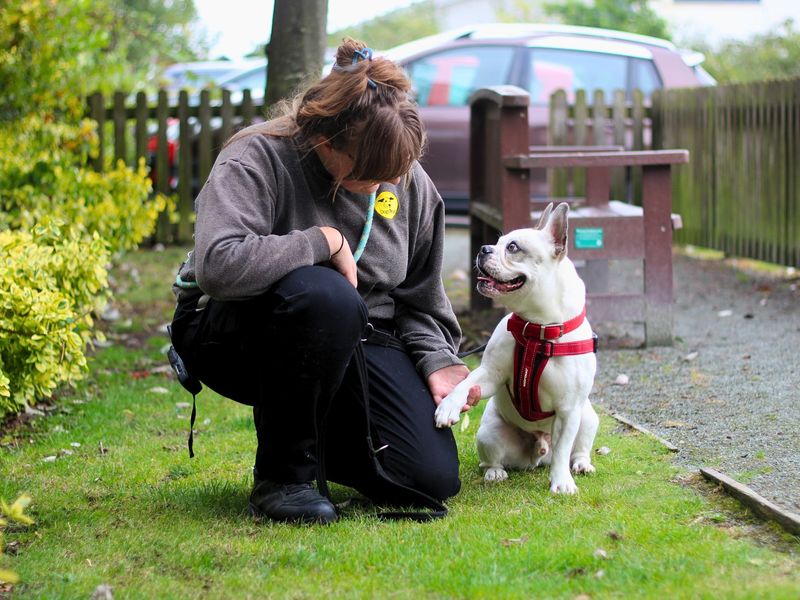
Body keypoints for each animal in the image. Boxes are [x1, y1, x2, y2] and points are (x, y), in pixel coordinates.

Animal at [434, 202, 596, 492]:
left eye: (512, 247)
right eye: (497, 242)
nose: (484, 248)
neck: (538, 328)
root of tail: (539, 452)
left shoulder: (569, 408)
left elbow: (563, 447)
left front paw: (561, 482)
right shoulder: (490, 374)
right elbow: (464, 385)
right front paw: (448, 406)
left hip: (587, 416)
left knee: (575, 450)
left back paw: (581, 464)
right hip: (489, 431)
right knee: (491, 460)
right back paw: (495, 472)